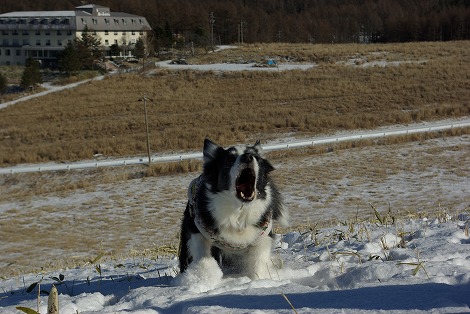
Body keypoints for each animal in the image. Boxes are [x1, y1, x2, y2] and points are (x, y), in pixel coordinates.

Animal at [179, 139, 286, 280]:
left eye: (256, 157)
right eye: (230, 159)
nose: (247, 157)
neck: (238, 211)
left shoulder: (262, 236)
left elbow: (259, 263)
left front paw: (257, 281)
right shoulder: (196, 229)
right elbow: (203, 257)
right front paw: (207, 277)